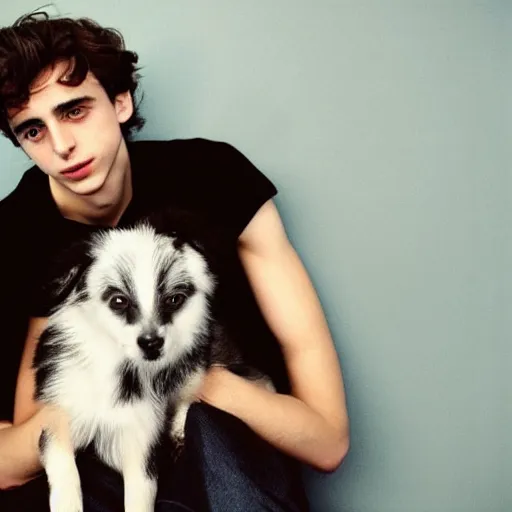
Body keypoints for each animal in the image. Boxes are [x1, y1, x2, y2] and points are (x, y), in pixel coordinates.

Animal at [33, 213, 270, 512]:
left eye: (174, 299)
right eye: (118, 301)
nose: (152, 343)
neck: (118, 368)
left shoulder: (141, 445)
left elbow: (139, 499)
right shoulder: (60, 414)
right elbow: (64, 469)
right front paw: (67, 503)